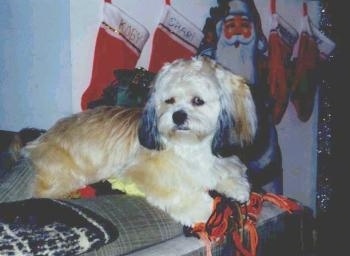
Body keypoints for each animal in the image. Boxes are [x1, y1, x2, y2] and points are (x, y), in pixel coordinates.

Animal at [22, 56, 258, 226]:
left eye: (198, 101)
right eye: (169, 100)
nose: (178, 116)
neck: (190, 146)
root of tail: (38, 141)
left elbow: (228, 171)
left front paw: (236, 187)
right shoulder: (142, 171)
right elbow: (176, 191)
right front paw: (202, 208)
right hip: (66, 175)